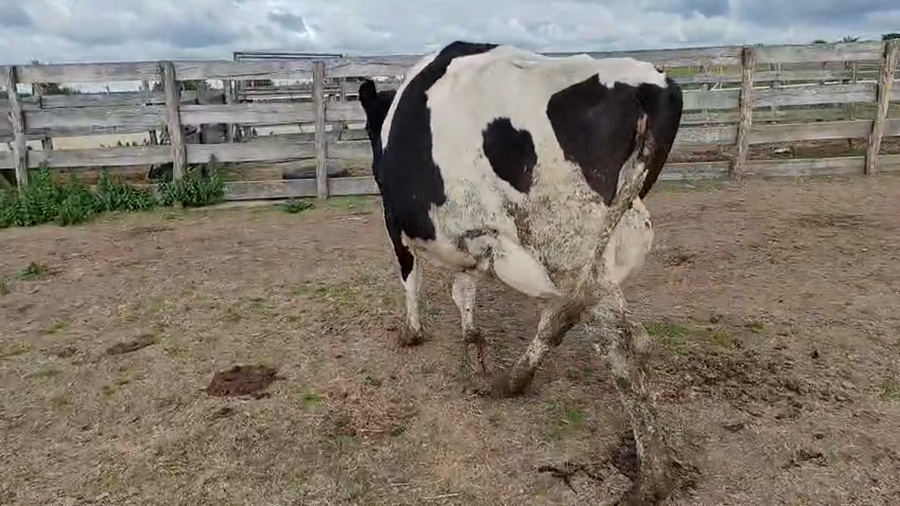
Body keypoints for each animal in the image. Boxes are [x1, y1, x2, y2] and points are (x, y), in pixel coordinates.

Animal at [358, 41, 689, 503]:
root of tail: (651, 83)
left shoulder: (395, 221)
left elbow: (412, 279)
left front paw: (413, 332)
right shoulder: (469, 234)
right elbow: (464, 288)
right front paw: (473, 346)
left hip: (566, 241)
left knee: (622, 344)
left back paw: (653, 479)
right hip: (611, 241)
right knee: (564, 315)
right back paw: (513, 380)